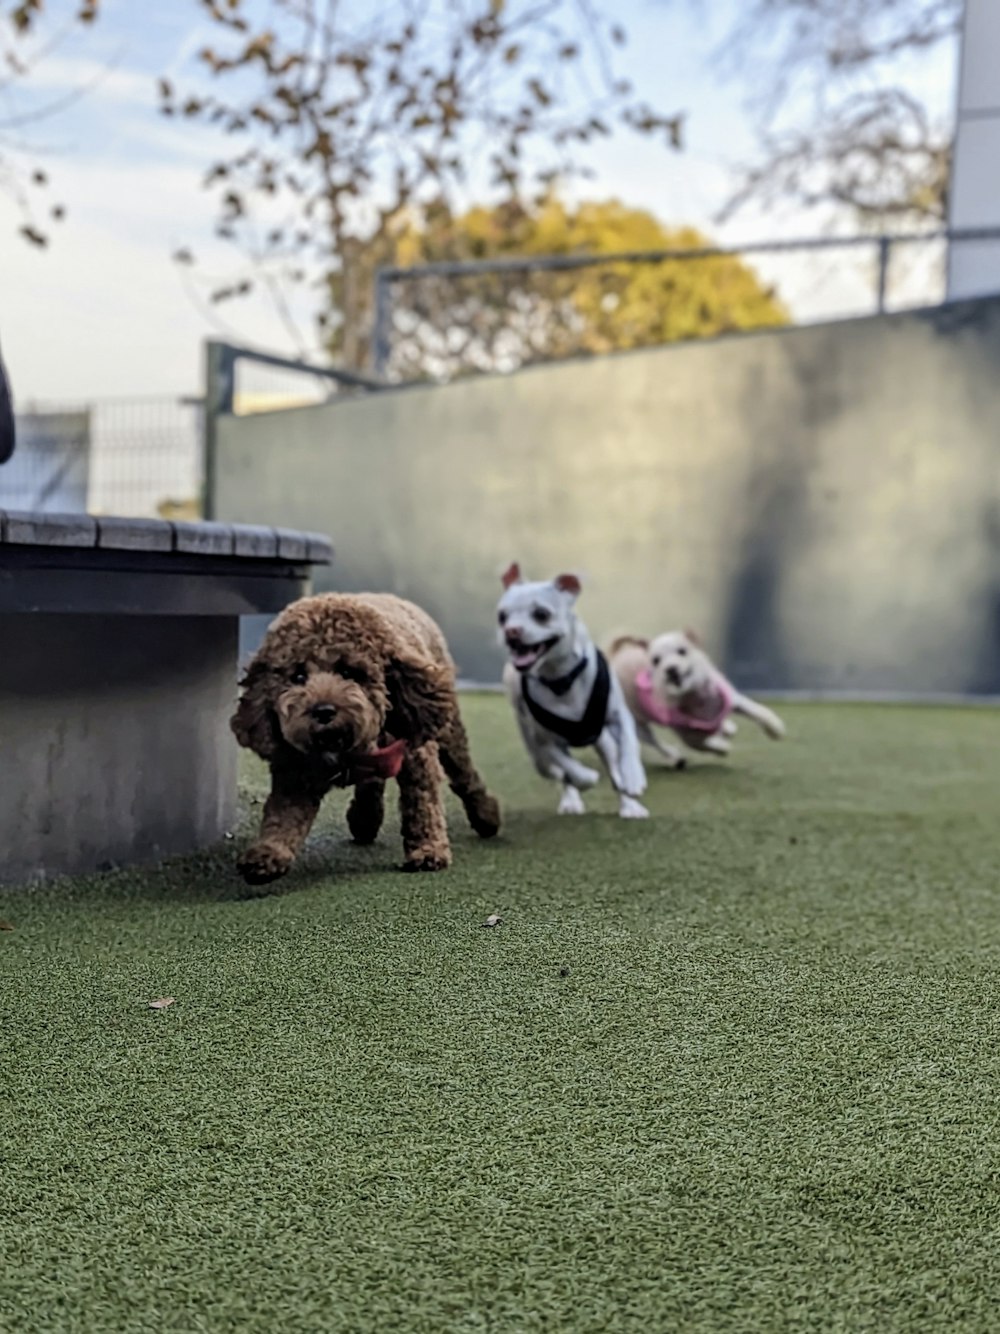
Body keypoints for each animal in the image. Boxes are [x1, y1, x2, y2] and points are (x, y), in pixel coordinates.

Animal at [233, 594, 501, 885]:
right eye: (298, 676)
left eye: (349, 672)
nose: (323, 710)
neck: (342, 748)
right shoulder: (296, 772)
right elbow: (282, 817)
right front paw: (268, 854)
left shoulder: (417, 756)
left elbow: (422, 803)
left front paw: (428, 851)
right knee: (372, 783)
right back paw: (365, 819)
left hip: (448, 734)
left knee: (465, 776)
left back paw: (486, 815)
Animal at [498, 560, 650, 816]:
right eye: (501, 617)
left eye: (541, 614)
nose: (511, 631)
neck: (561, 679)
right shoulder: (543, 739)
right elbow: (568, 767)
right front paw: (584, 778)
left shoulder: (619, 715)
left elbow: (629, 745)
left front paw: (633, 777)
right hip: (532, 743)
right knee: (552, 768)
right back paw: (571, 799)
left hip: (603, 739)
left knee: (614, 765)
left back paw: (629, 804)